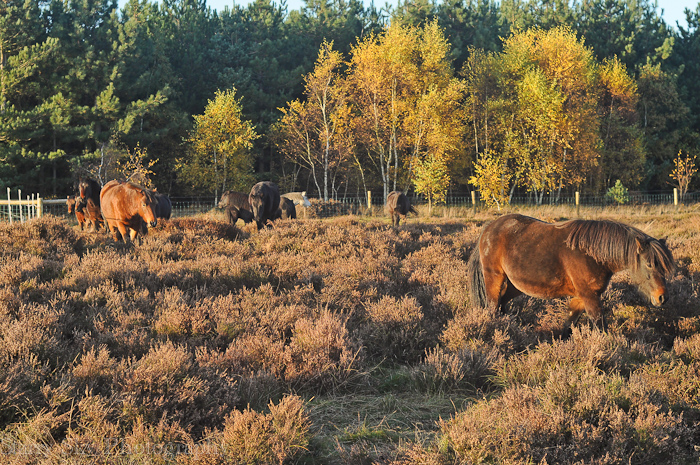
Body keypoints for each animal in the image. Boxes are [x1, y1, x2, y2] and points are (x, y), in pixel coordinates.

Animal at [466, 214, 675, 332]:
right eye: (649, 264)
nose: (662, 297)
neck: (592, 253)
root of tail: (488, 229)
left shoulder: (582, 297)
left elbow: (569, 323)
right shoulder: (589, 296)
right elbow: (599, 325)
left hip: (514, 286)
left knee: (502, 303)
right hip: (494, 278)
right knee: (493, 307)